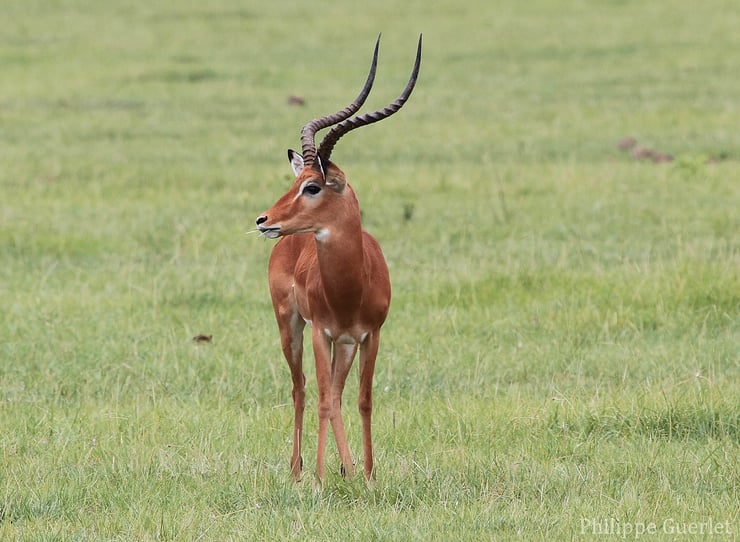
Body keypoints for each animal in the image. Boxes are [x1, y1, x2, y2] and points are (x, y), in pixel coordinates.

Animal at [255, 35, 422, 483]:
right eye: (297, 180)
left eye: (312, 186)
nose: (264, 220)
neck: (351, 285)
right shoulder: (321, 332)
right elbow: (323, 400)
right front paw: (320, 477)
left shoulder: (369, 335)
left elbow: (361, 400)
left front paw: (367, 474)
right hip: (291, 326)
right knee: (302, 389)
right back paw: (299, 471)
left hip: (344, 345)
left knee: (336, 391)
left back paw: (345, 468)